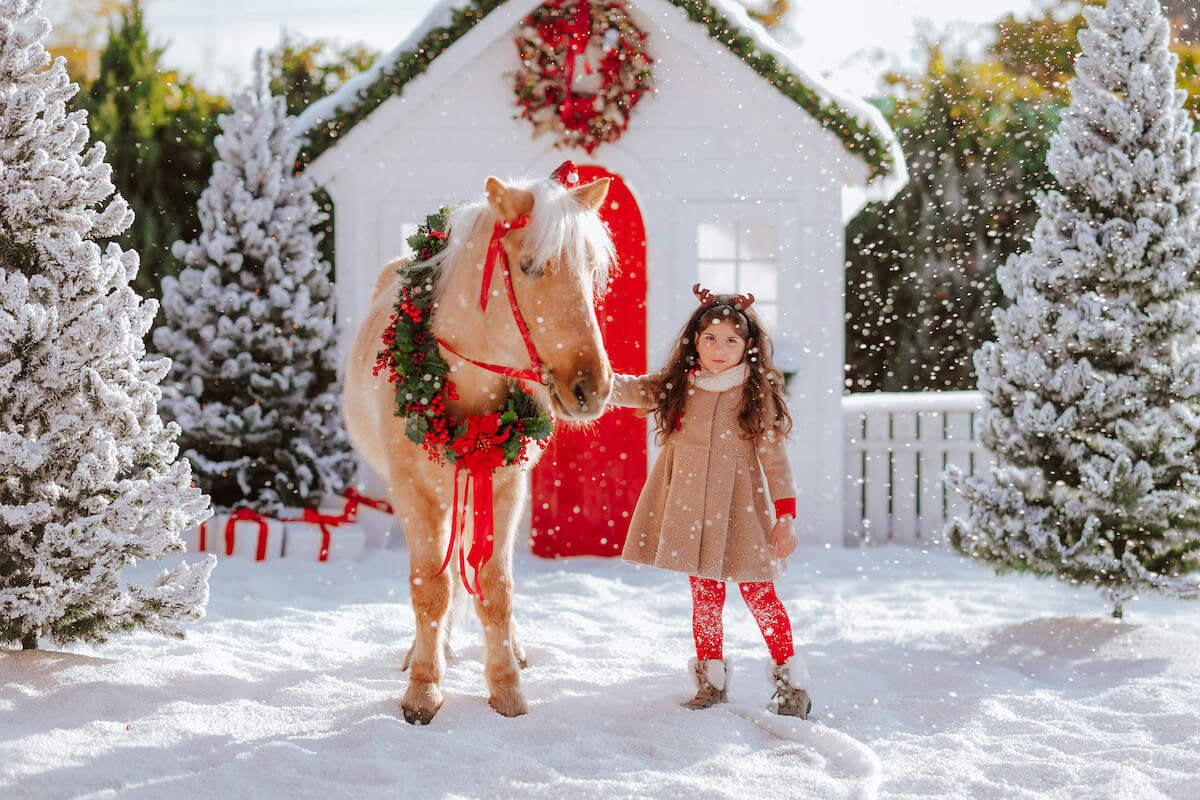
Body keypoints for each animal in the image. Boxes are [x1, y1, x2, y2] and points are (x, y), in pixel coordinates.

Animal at [343, 164, 614, 724]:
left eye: (589, 267)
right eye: (529, 267)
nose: (593, 388)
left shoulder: (506, 489)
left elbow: (497, 590)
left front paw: (506, 687)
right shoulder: (412, 494)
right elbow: (430, 589)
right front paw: (424, 689)